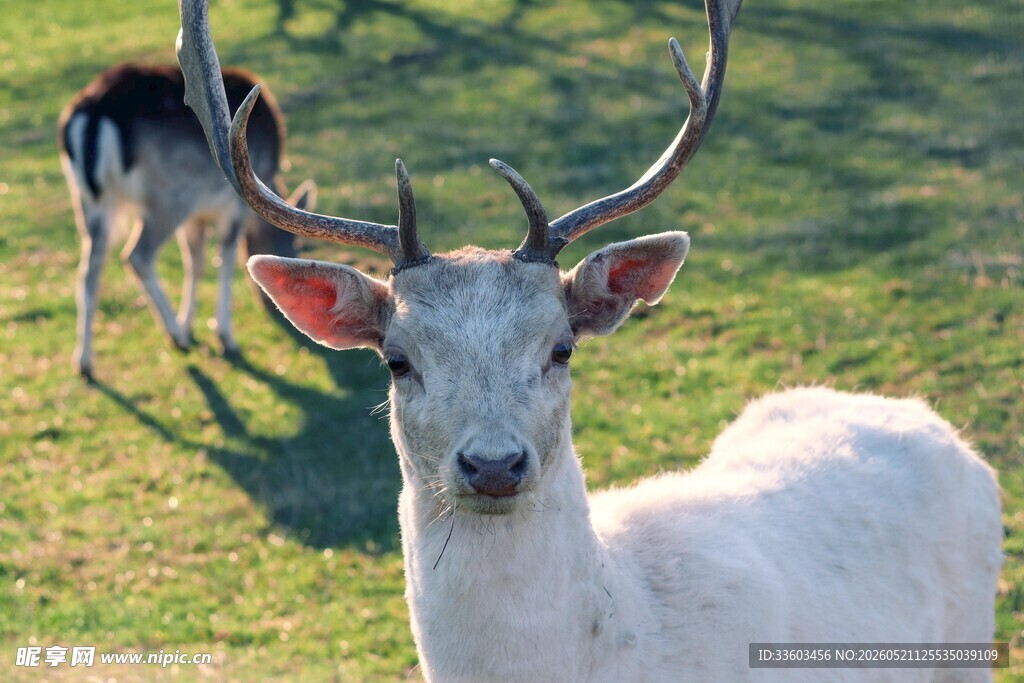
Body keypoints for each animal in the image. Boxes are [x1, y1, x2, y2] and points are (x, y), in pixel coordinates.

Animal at [58, 63, 315, 379]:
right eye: (297, 245)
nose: (271, 305)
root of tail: (96, 112)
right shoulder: (233, 206)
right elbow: (225, 260)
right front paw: (224, 337)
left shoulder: (196, 215)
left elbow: (196, 261)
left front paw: (189, 323)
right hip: (170, 198)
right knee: (137, 255)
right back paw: (175, 336)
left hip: (88, 202)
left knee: (88, 270)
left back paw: (84, 361)